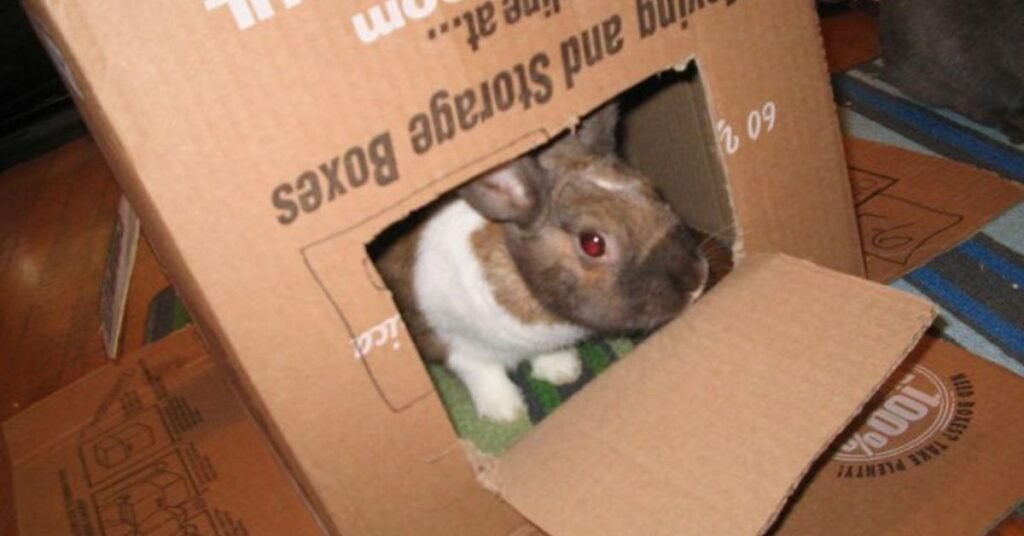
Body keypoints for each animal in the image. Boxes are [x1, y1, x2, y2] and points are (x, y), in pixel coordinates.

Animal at [375, 104, 709, 422]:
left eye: (656, 193)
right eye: (593, 243)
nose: (697, 280)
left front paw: (563, 370)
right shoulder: (448, 340)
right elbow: (480, 371)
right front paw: (506, 412)